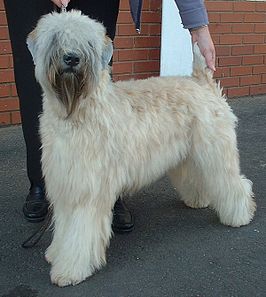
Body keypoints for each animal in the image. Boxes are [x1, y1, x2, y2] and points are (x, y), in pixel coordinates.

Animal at [26, 10, 256, 286]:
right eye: (56, 37)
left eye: (88, 43)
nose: (72, 58)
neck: (78, 113)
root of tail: (201, 82)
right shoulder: (65, 184)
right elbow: (64, 229)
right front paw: (55, 252)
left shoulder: (87, 191)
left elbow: (79, 234)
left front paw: (70, 269)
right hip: (190, 156)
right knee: (197, 177)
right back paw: (198, 200)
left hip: (215, 153)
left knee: (235, 184)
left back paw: (240, 215)